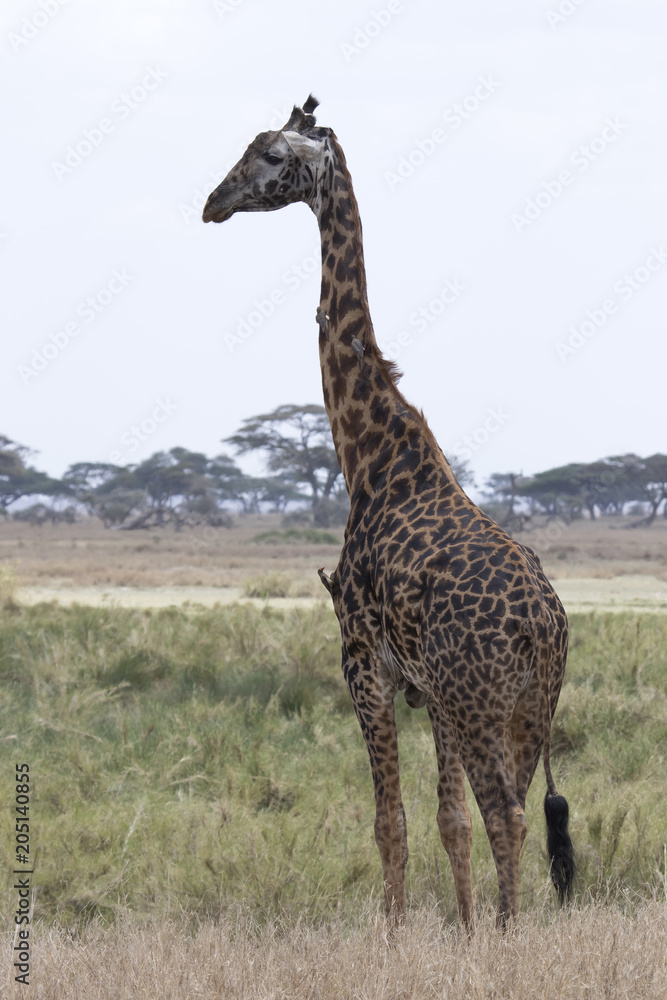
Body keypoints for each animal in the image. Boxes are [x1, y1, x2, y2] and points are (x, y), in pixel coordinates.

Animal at [202, 96, 574, 928]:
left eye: (271, 156)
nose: (213, 202)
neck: (370, 458)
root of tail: (541, 623)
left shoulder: (362, 661)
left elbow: (390, 821)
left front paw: (398, 935)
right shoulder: (427, 690)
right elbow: (447, 821)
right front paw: (459, 933)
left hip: (479, 702)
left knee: (507, 814)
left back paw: (507, 936)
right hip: (527, 707)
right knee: (511, 812)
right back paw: (498, 929)